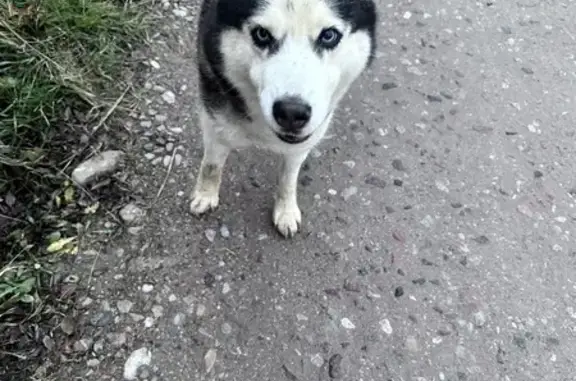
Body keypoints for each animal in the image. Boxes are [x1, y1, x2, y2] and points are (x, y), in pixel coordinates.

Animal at [192, 0, 378, 238]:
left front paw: (286, 210)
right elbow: (211, 165)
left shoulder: (308, 136)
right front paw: (205, 194)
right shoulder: (215, 114)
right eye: (262, 34)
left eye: (329, 35)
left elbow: (288, 176)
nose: (292, 112)